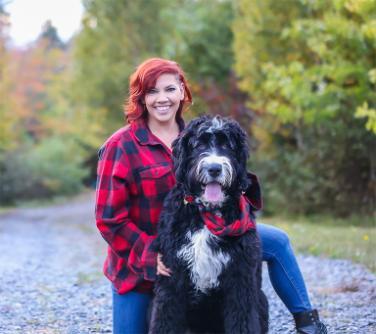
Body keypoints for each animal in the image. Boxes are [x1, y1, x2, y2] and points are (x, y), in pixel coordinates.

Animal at [148, 115, 268, 334]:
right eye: (198, 145)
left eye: (227, 145)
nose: (214, 168)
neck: (205, 214)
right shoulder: (171, 279)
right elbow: (165, 319)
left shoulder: (240, 280)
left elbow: (242, 320)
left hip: (261, 301)